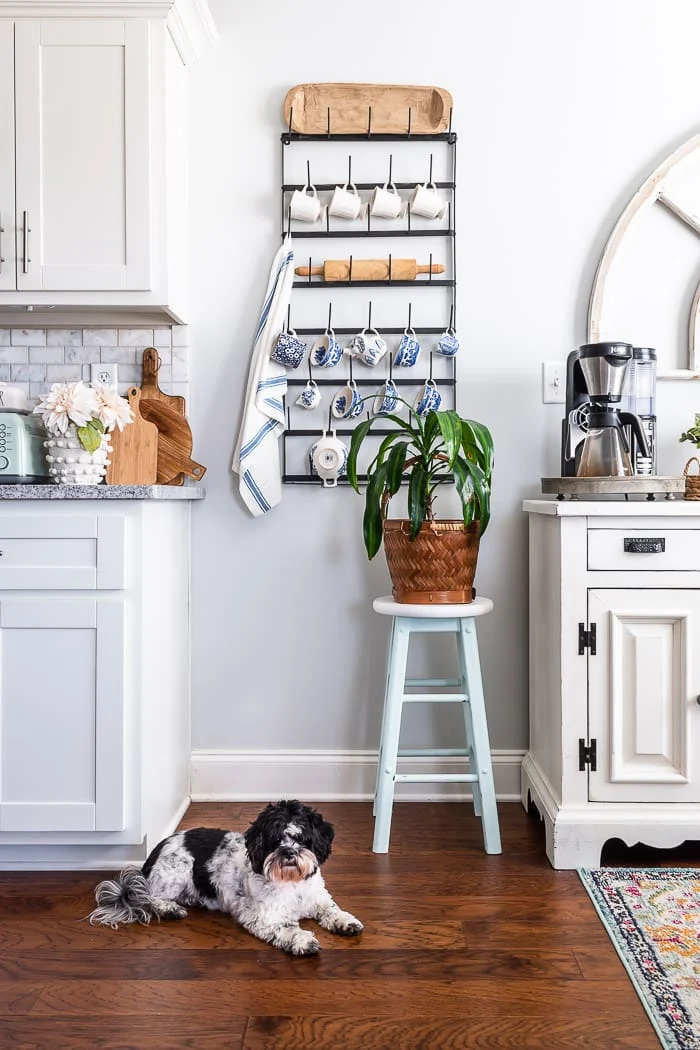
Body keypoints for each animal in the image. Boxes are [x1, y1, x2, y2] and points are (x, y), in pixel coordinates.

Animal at [87, 797, 365, 957]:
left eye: (302, 837)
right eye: (274, 840)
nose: (288, 853)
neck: (291, 883)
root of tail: (161, 845)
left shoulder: (318, 898)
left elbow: (332, 910)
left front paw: (345, 922)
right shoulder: (264, 916)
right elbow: (286, 929)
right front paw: (303, 941)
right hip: (175, 872)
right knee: (147, 897)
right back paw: (169, 909)